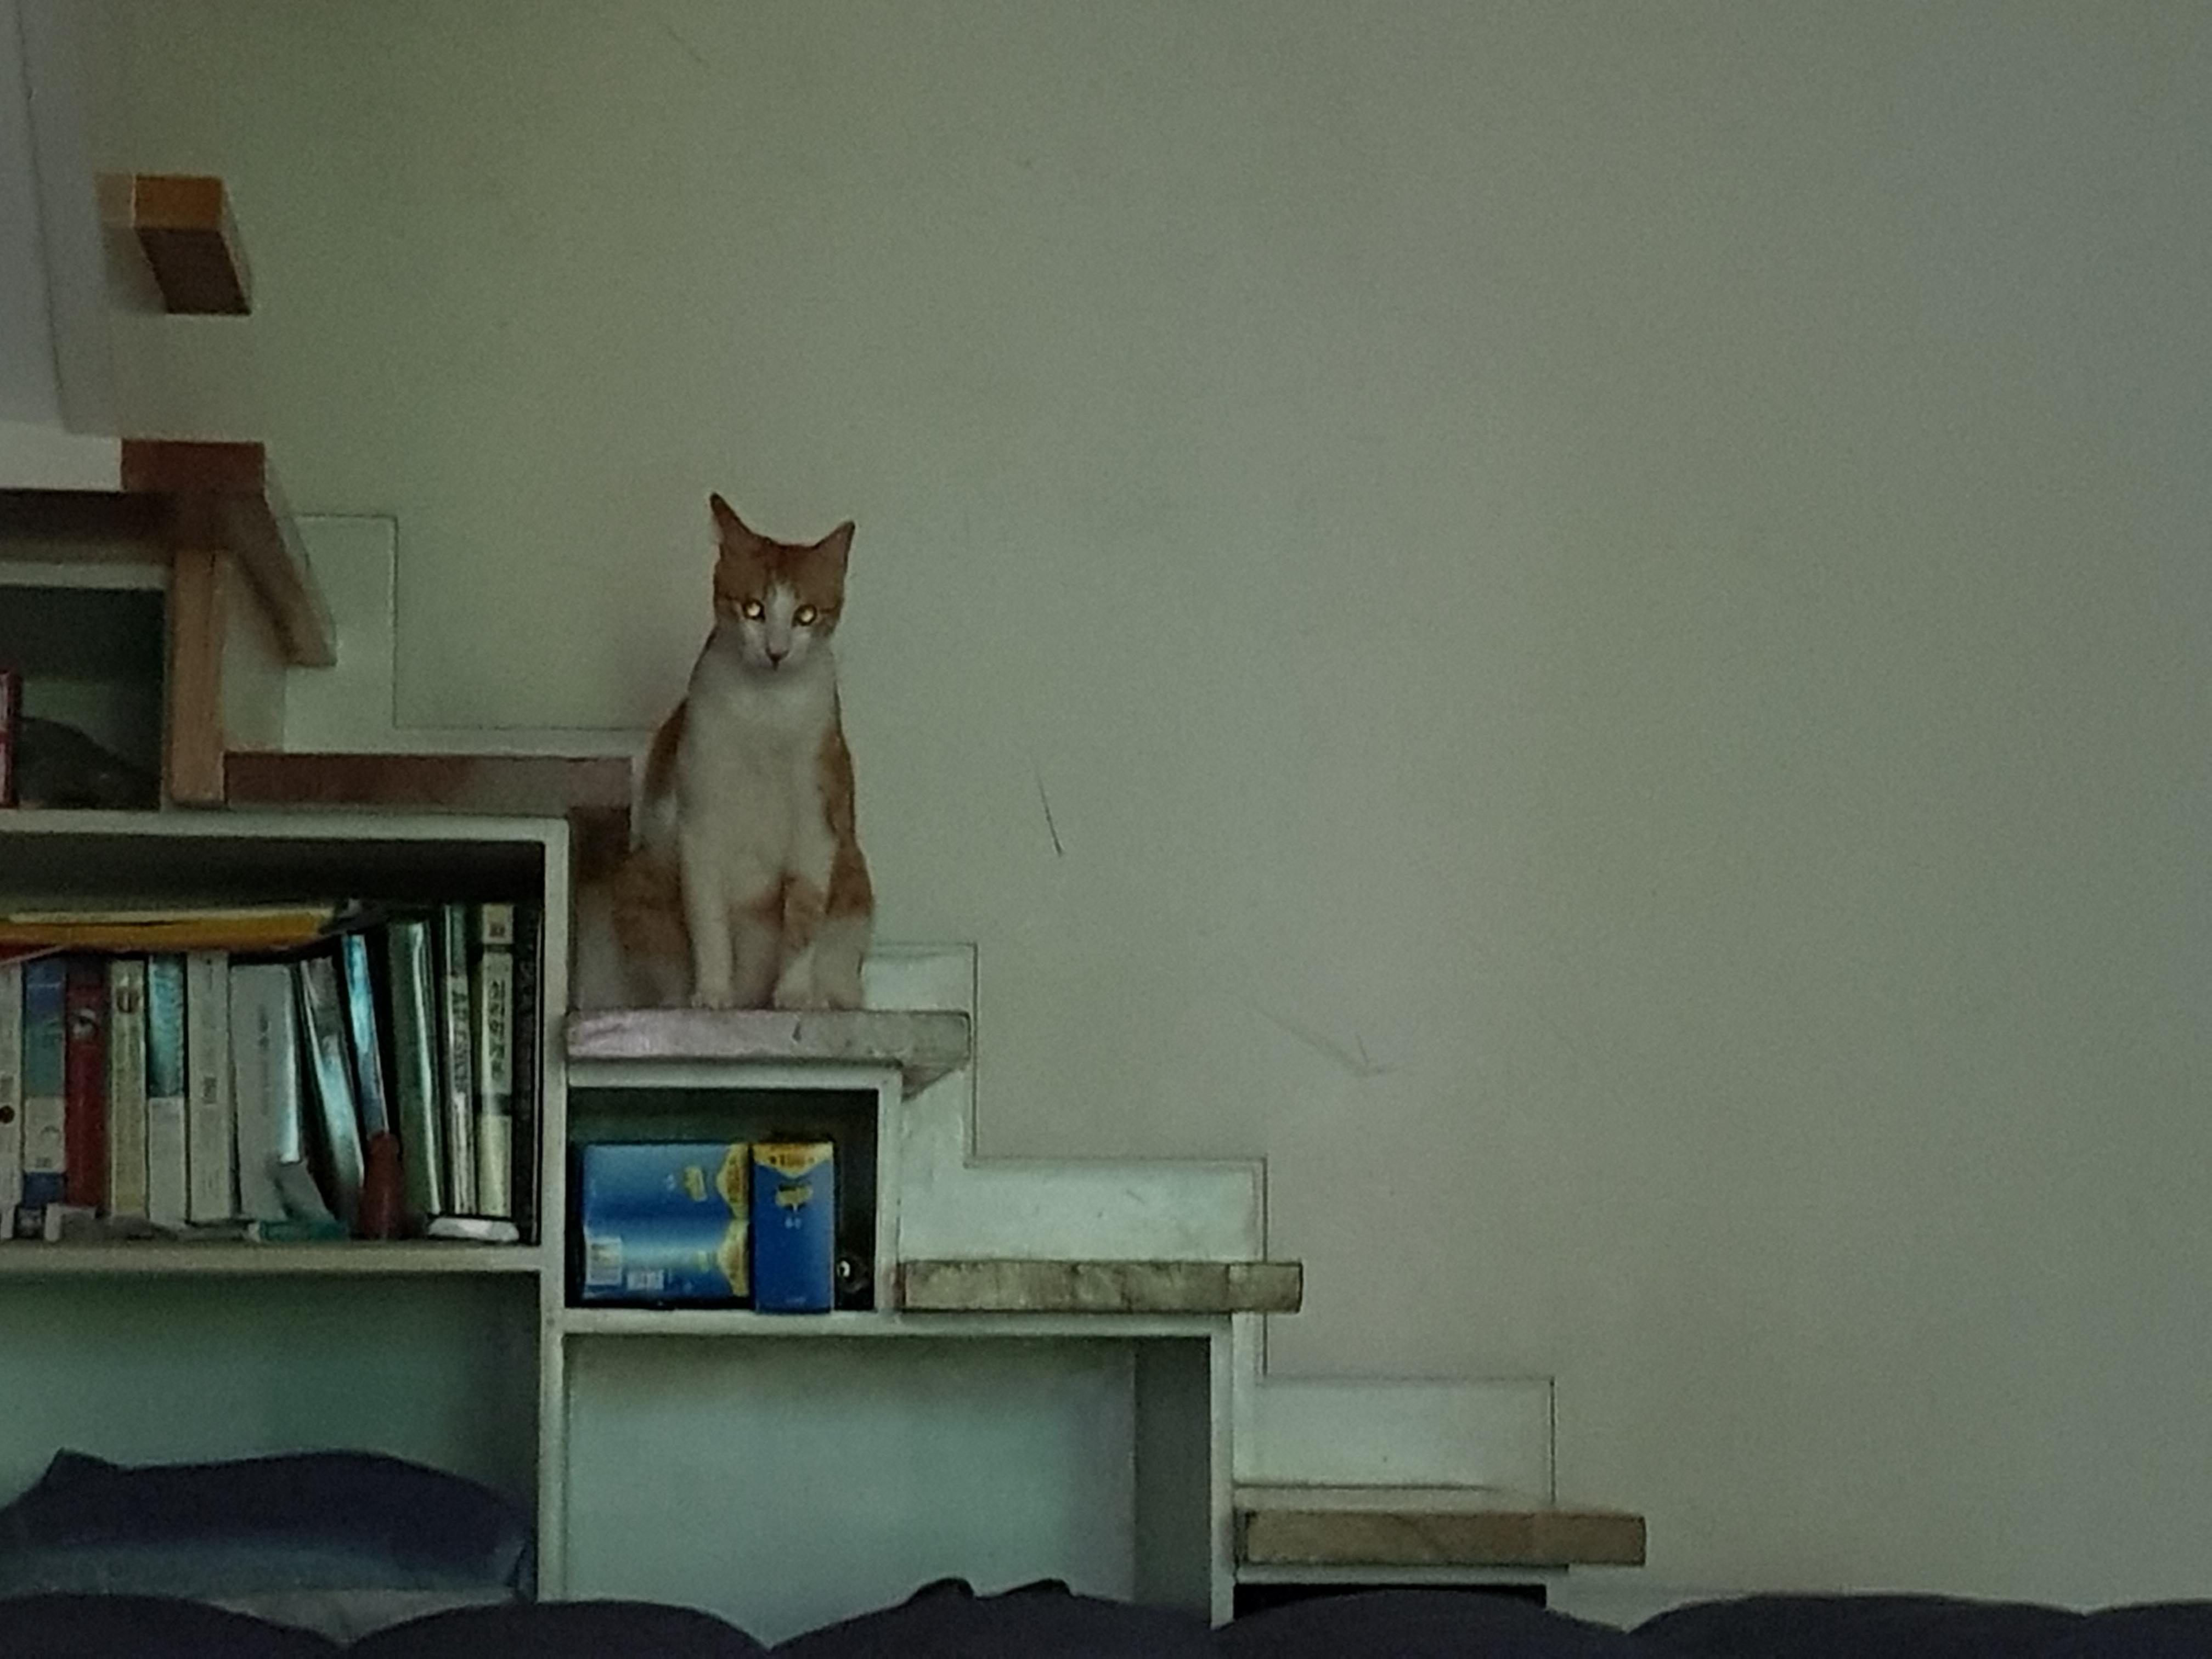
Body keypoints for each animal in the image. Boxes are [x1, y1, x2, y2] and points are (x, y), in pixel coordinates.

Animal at [574, 494, 873, 1011]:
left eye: (806, 615)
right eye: (753, 609)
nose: (776, 652)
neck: (765, 711)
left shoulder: (817, 825)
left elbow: (803, 919)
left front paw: (794, 995)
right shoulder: (699, 828)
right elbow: (708, 923)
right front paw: (712, 993)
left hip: (855, 880)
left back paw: (827, 997)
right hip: (643, 873)